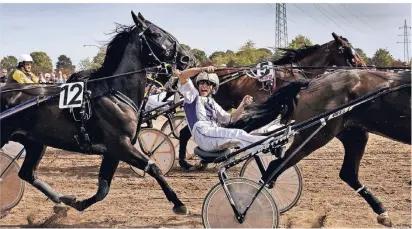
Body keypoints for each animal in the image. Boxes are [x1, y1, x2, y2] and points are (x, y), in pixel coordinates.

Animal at [0, 10, 195, 215]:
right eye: (156, 34)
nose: (187, 58)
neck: (114, 92)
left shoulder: (113, 151)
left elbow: (103, 189)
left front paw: (76, 203)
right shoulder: (120, 145)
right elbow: (154, 168)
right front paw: (178, 203)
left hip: (35, 142)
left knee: (27, 173)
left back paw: (61, 199)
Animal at [230, 70, 410, 227]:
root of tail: (311, 82)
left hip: (354, 135)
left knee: (348, 173)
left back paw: (382, 213)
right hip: (315, 136)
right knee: (275, 167)